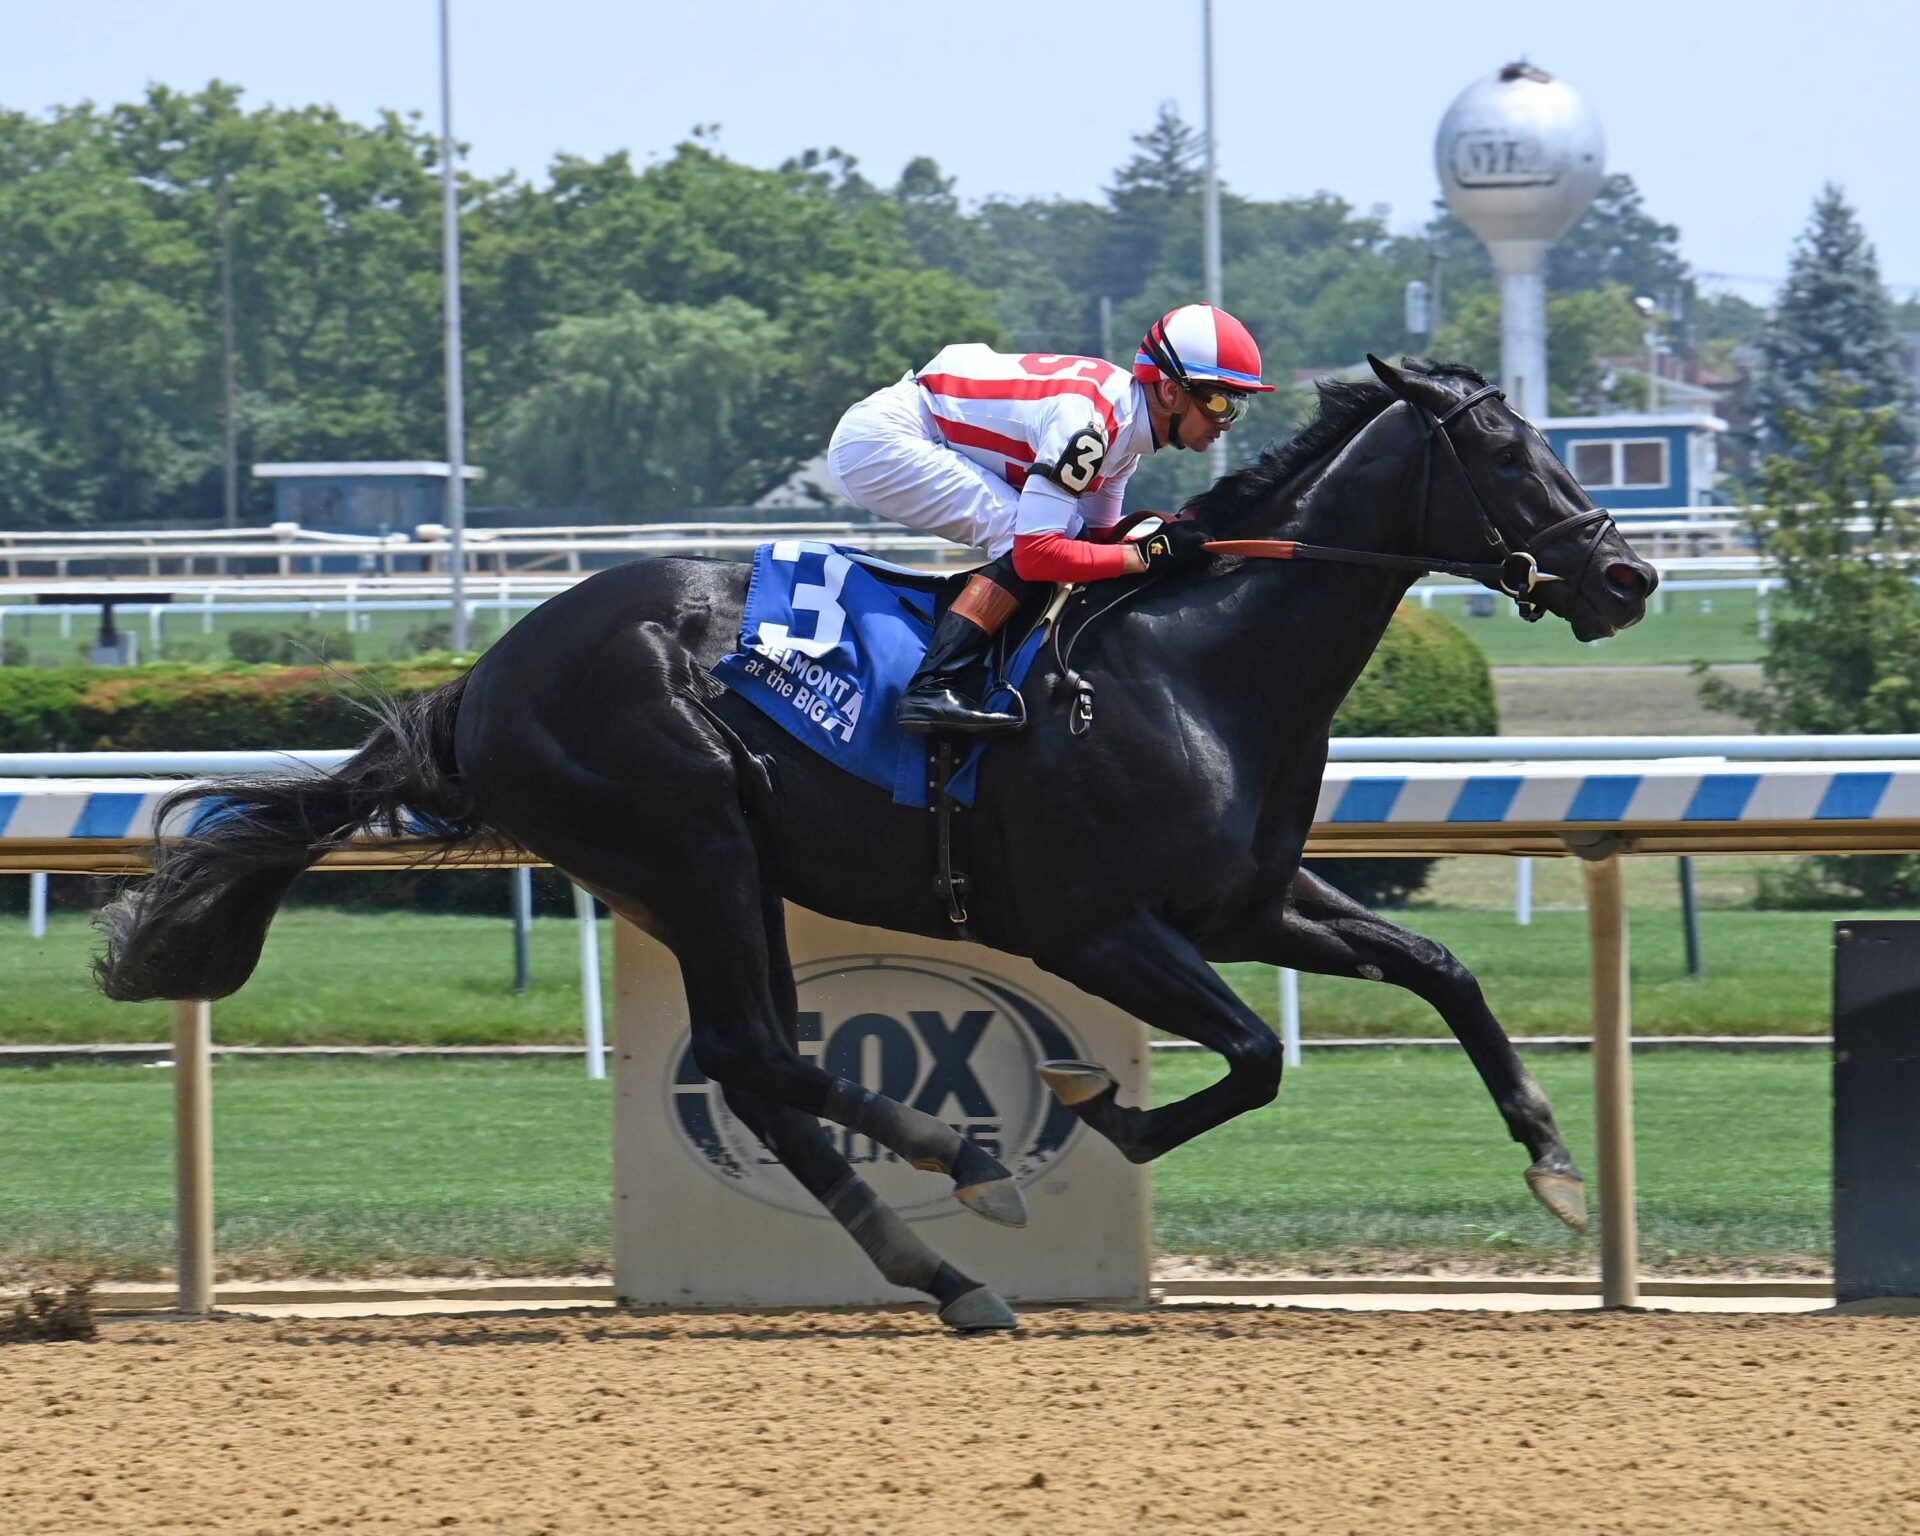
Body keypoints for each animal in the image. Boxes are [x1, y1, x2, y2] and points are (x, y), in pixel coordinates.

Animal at [96, 356, 1657, 1330]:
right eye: (1505, 450)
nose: (1630, 573)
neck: (1200, 663)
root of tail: (480, 681)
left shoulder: (1246, 904)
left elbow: (1441, 969)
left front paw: (1553, 1163)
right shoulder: (1099, 926)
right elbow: (1256, 1056)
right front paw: (1096, 1105)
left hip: (704, 877)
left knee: (762, 1071)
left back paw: (948, 1267)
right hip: (696, 845)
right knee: (757, 1056)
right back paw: (961, 1174)